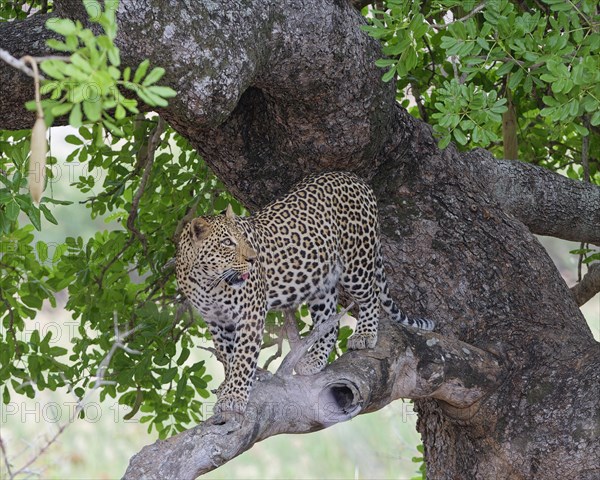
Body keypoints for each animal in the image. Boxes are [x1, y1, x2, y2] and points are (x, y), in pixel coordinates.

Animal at [176, 171, 434, 414]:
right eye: (227, 242)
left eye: (244, 238)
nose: (253, 259)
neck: (207, 281)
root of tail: (353, 177)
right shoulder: (216, 321)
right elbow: (229, 356)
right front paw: (228, 388)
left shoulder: (251, 314)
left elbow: (242, 359)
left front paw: (234, 397)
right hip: (321, 280)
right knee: (329, 321)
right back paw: (314, 360)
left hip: (356, 261)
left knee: (370, 296)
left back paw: (364, 334)